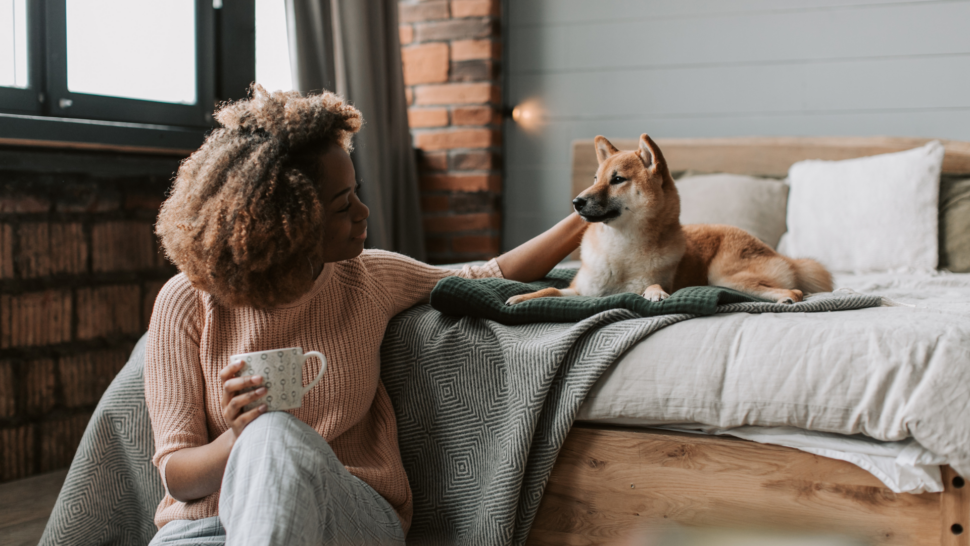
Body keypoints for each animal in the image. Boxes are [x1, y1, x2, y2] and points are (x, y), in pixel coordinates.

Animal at [502, 133, 828, 304]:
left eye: (617, 179)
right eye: (595, 179)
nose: (576, 203)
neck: (620, 248)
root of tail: (783, 256)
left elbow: (652, 286)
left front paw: (655, 293)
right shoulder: (581, 291)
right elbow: (549, 290)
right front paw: (521, 298)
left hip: (724, 276)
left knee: (795, 290)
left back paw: (786, 297)